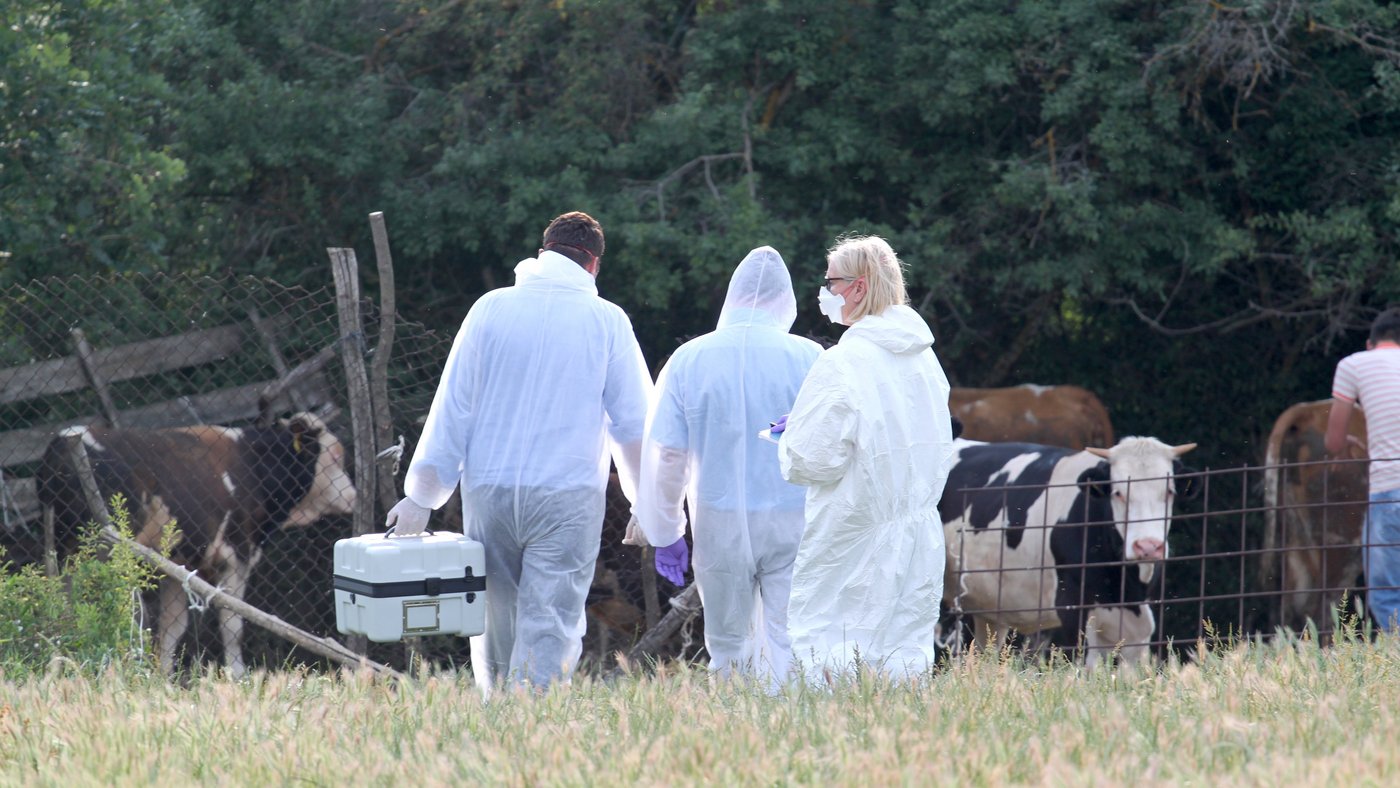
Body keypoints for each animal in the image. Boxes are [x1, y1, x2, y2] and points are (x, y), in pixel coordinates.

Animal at [38, 414, 358, 677]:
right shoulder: (237, 554)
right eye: (335, 456)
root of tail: (64, 440)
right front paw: (238, 676)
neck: (250, 465)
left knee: (64, 609)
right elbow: (232, 624)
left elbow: (171, 629)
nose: (352, 495)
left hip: (62, 553)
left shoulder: (180, 565)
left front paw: (163, 681)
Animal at [935, 436, 1198, 666]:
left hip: (988, 610)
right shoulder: (1071, 606)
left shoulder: (1137, 622)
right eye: (1118, 492)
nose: (1148, 546)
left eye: (1169, 492)